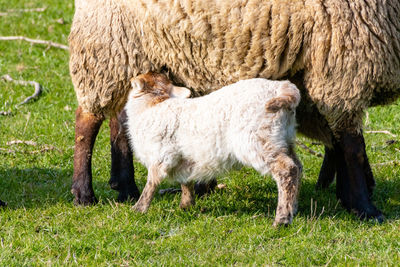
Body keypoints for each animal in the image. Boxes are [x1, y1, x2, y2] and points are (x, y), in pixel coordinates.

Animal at [126, 73, 302, 226]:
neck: (151, 106)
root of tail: (282, 88)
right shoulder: (183, 157)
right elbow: (186, 181)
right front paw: (186, 205)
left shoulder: (161, 155)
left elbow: (151, 184)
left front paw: (138, 209)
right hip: (283, 138)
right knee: (298, 167)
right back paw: (293, 208)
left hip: (258, 140)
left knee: (286, 170)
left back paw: (282, 219)